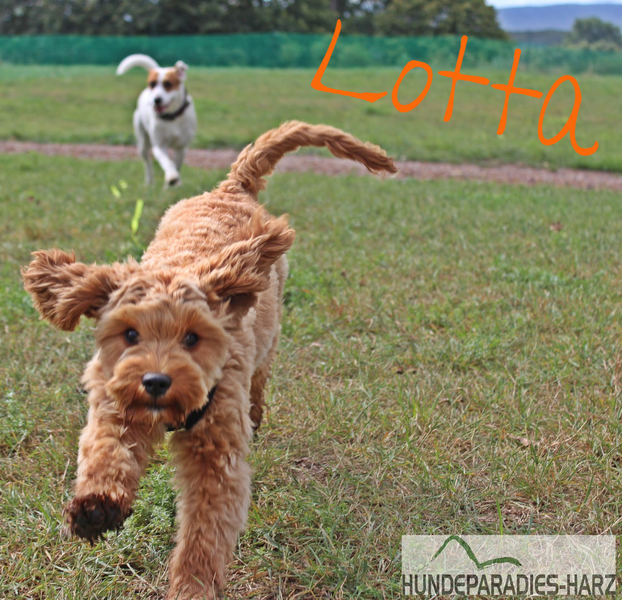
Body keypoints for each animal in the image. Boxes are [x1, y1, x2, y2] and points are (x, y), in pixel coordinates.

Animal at [23, 121, 396, 599]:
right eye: (130, 334)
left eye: (192, 338)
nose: (156, 382)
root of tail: (231, 186)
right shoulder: (116, 400)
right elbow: (106, 448)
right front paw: (96, 508)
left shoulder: (215, 452)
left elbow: (205, 530)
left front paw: (192, 586)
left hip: (267, 338)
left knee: (260, 380)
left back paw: (256, 414)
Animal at [117, 54, 197, 187]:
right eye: (152, 84)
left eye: (168, 84)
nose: (156, 99)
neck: (171, 118)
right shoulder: (159, 146)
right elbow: (167, 162)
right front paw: (172, 177)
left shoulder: (181, 147)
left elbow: (177, 164)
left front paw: (174, 183)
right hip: (142, 142)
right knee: (147, 163)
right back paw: (149, 183)